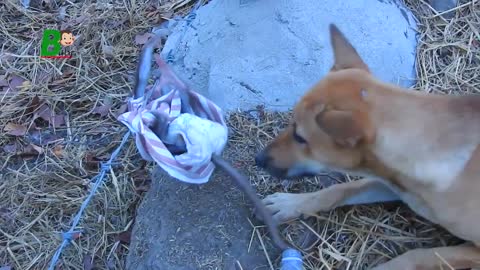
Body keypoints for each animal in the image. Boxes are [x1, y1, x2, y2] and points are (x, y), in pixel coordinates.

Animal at [256, 24, 480, 268]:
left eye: (300, 137)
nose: (258, 159)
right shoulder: (391, 183)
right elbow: (341, 189)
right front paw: (291, 203)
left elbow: (418, 256)